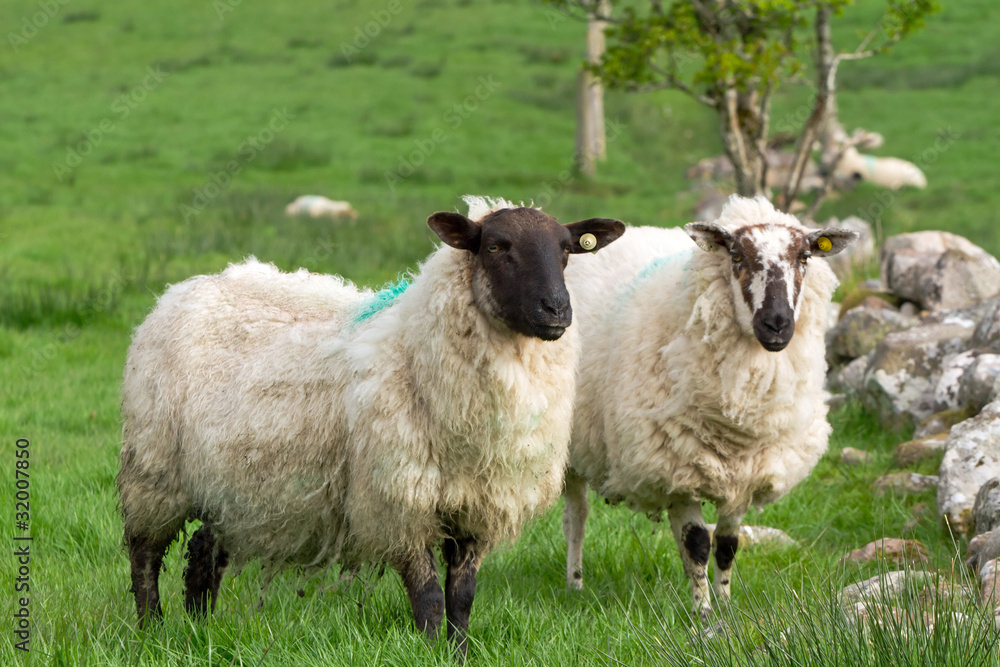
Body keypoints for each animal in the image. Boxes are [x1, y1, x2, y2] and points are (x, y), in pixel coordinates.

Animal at [117, 196, 624, 655]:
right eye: (497, 246)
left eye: (566, 250)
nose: (556, 310)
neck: (413, 352)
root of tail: (187, 288)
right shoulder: (399, 503)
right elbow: (429, 600)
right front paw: (431, 654)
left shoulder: (476, 508)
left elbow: (462, 600)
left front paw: (458, 654)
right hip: (155, 471)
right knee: (144, 555)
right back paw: (150, 633)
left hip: (232, 488)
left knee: (203, 552)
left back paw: (199, 630)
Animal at [561, 195, 856, 623]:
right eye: (736, 255)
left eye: (804, 257)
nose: (777, 323)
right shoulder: (676, 464)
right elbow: (698, 544)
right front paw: (703, 615)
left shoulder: (745, 475)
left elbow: (728, 545)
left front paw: (726, 606)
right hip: (567, 444)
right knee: (576, 517)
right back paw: (575, 583)